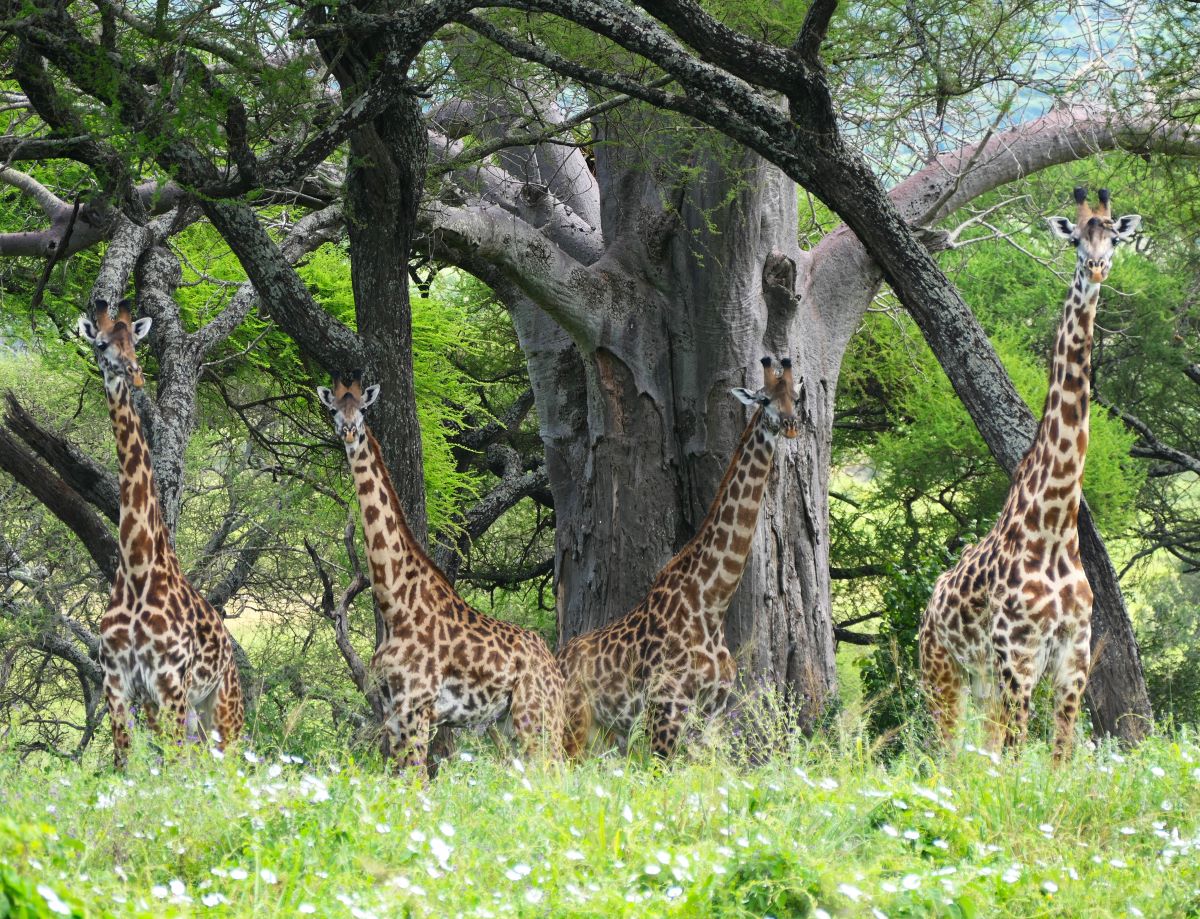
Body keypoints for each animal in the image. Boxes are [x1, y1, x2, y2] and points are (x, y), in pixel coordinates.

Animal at [78, 298, 243, 767]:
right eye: (100, 343)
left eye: (135, 342)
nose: (134, 372)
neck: (136, 568)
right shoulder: (118, 681)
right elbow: (125, 764)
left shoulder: (169, 680)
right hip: (183, 710)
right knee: (196, 760)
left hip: (220, 705)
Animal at [314, 371, 566, 767]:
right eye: (334, 409)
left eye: (364, 409)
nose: (350, 431)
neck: (395, 604)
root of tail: (554, 666)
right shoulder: (394, 713)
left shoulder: (417, 709)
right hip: (512, 722)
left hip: (537, 716)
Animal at [559, 355, 801, 758]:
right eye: (764, 399)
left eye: (795, 398)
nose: (791, 425)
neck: (711, 603)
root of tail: (557, 658)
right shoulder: (665, 710)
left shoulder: (710, 714)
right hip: (573, 722)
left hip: (604, 733)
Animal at [916, 189, 1142, 763]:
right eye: (1076, 237)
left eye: (1114, 235)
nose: (1096, 267)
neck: (1056, 524)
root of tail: (929, 606)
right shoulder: (1019, 653)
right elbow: (1023, 763)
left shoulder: (1073, 656)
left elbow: (1058, 759)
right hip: (942, 673)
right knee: (948, 757)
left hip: (985, 684)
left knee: (983, 752)